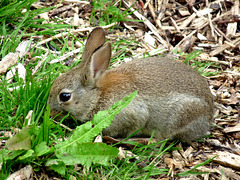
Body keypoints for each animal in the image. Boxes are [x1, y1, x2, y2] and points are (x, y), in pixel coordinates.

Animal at [47, 27, 214, 142]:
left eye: (64, 96)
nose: (49, 112)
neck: (97, 96)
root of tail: (208, 116)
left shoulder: (133, 113)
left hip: (178, 117)